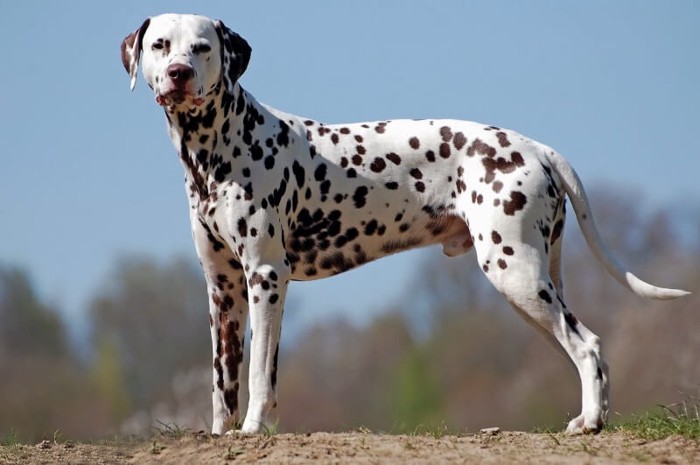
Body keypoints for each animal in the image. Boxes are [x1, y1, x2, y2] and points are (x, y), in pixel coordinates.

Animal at [121, 13, 688, 436]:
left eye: (202, 48)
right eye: (160, 45)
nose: (178, 73)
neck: (220, 147)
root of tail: (537, 147)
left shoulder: (266, 278)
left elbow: (260, 373)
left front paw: (255, 429)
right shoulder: (224, 289)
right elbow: (224, 382)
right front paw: (222, 434)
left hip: (517, 276)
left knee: (588, 345)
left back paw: (591, 422)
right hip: (534, 287)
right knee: (584, 349)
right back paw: (593, 418)